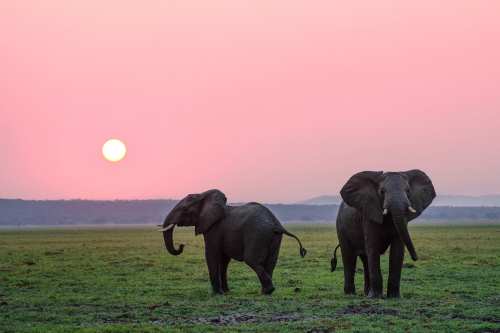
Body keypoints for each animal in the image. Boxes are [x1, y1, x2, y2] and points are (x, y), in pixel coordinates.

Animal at [158, 188, 306, 294]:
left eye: (184, 210)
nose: (181, 245)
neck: (203, 195)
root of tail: (276, 223)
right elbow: (224, 260)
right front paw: (226, 291)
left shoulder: (214, 229)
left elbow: (211, 255)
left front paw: (217, 293)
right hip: (274, 237)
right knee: (271, 262)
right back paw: (266, 291)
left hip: (256, 234)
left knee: (251, 260)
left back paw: (268, 291)